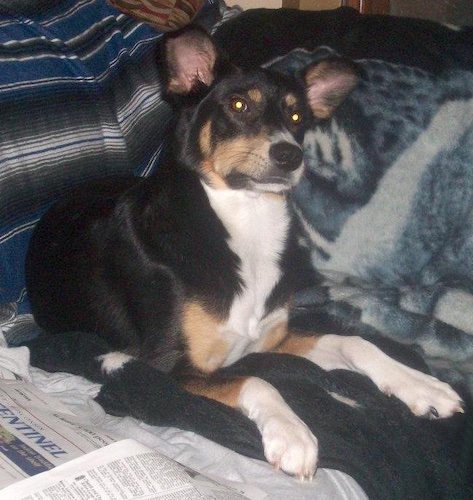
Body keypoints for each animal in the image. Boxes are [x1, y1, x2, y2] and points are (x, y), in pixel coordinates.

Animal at [24, 27, 460, 480]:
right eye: (238, 105)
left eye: (297, 118)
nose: (290, 155)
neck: (247, 223)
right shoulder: (168, 367)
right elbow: (255, 380)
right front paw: (293, 434)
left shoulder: (273, 338)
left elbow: (353, 342)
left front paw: (421, 386)